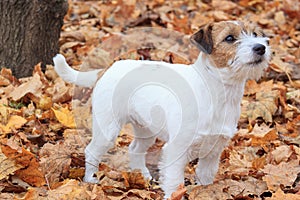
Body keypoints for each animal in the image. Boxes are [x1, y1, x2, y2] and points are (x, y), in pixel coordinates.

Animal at [52, 20, 270, 198]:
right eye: (230, 38)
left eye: (255, 34)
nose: (261, 47)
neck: (217, 92)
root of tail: (107, 69)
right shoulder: (176, 150)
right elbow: (174, 184)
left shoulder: (212, 153)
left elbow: (205, 179)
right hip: (108, 129)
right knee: (91, 151)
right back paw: (90, 180)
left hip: (146, 130)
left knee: (134, 150)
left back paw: (143, 176)